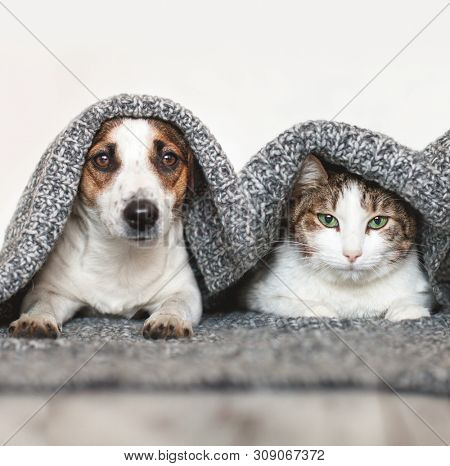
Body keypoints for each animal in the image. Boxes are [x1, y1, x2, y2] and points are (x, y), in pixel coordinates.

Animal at [8, 117, 202, 338]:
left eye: (169, 158)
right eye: (102, 159)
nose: (141, 214)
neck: (123, 257)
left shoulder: (184, 290)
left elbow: (176, 302)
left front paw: (169, 318)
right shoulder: (50, 291)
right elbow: (42, 303)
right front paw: (36, 319)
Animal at [243, 154, 432, 320]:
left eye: (378, 221)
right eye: (327, 219)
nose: (352, 254)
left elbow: (420, 296)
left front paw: (407, 308)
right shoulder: (258, 292)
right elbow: (281, 301)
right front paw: (319, 310)